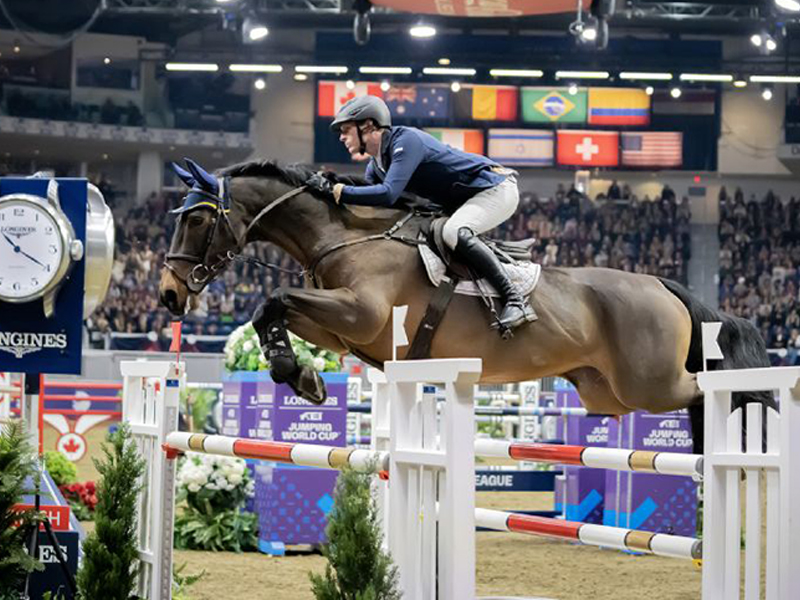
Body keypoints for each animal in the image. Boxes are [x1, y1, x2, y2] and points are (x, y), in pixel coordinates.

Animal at [159, 158, 775, 453]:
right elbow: (275, 310)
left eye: (199, 219)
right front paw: (302, 376)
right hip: (608, 392)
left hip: (650, 382)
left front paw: (295, 372)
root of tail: (662, 284)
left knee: (723, 389)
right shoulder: (345, 329)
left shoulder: (361, 312)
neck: (345, 233)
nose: (168, 293)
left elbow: (273, 299)